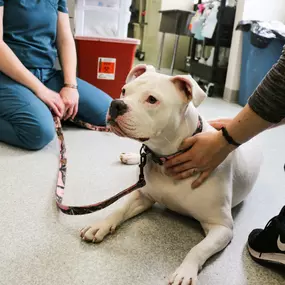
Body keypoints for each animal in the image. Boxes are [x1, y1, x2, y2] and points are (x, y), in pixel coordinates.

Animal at [80, 64, 262, 284]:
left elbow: (198, 249)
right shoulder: (143, 196)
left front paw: (185, 271)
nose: (116, 104)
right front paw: (100, 225)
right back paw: (131, 156)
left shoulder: (221, 227)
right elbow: (118, 210)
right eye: (124, 91)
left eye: (152, 99)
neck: (166, 156)